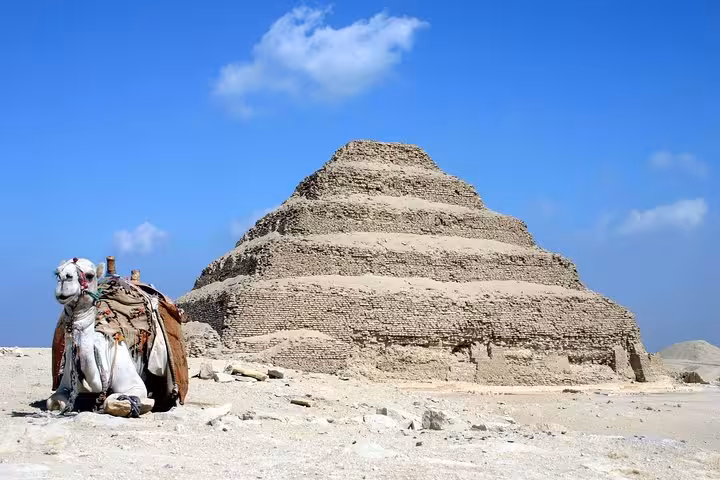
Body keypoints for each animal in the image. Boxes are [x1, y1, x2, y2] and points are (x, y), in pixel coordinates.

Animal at [47, 257, 188, 416]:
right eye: (57, 273)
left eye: (89, 275)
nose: (64, 279)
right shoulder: (64, 385)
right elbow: (52, 402)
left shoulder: (134, 384)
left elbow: (112, 401)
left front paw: (144, 404)